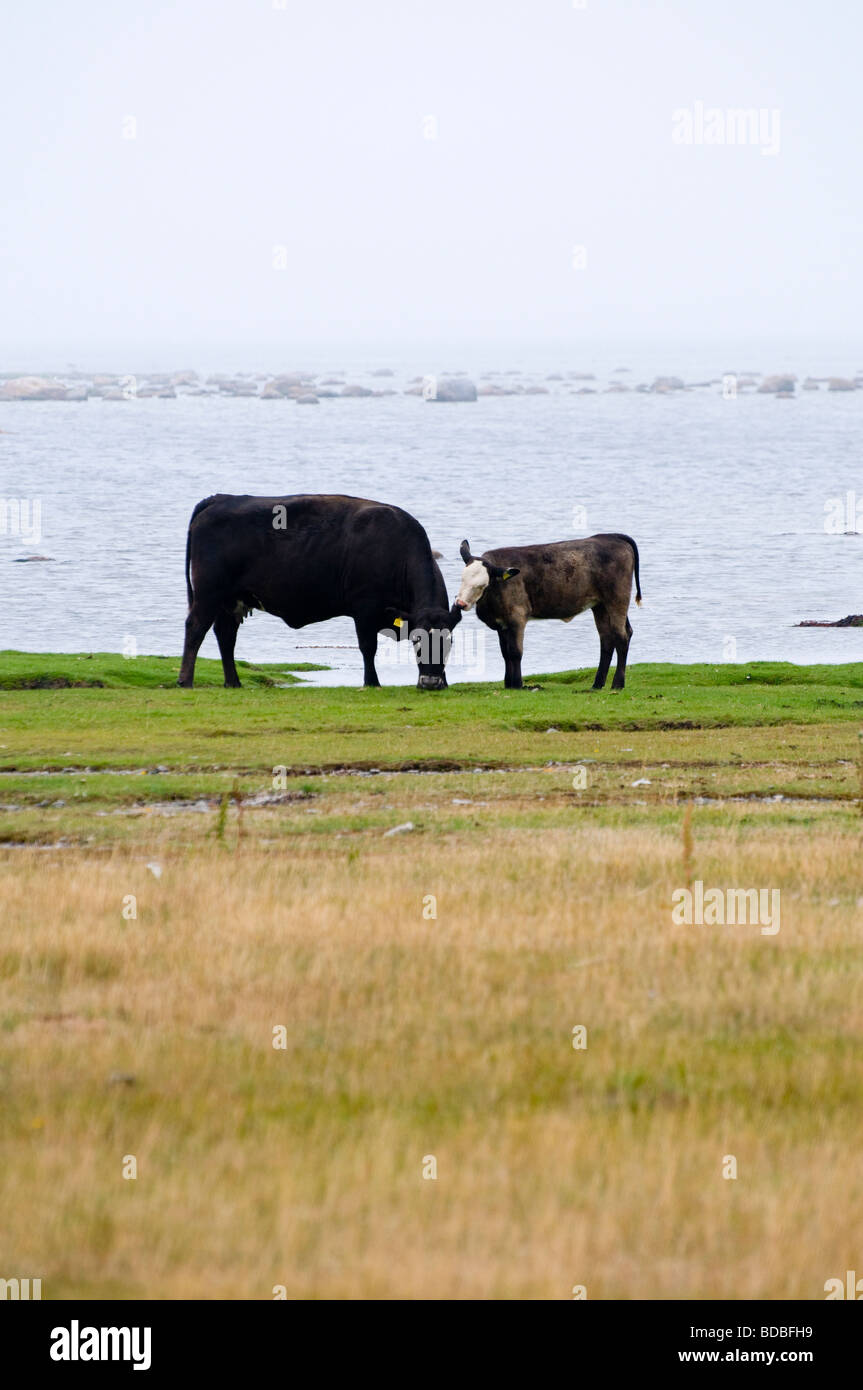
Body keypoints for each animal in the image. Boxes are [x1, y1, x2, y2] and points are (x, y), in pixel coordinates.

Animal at [176, 494, 464, 689]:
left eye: (448, 641)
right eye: (416, 640)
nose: (429, 682)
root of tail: (221, 499)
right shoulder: (364, 609)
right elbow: (367, 647)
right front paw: (371, 682)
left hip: (231, 600)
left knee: (225, 635)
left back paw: (233, 682)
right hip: (208, 594)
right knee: (196, 628)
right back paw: (185, 680)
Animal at [458, 530, 639, 689]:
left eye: (482, 585)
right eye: (462, 579)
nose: (460, 603)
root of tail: (610, 536)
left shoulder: (517, 617)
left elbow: (515, 652)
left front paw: (517, 684)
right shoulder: (501, 623)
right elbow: (505, 653)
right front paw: (508, 683)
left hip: (617, 598)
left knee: (621, 637)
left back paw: (617, 683)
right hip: (600, 605)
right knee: (608, 639)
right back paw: (597, 684)